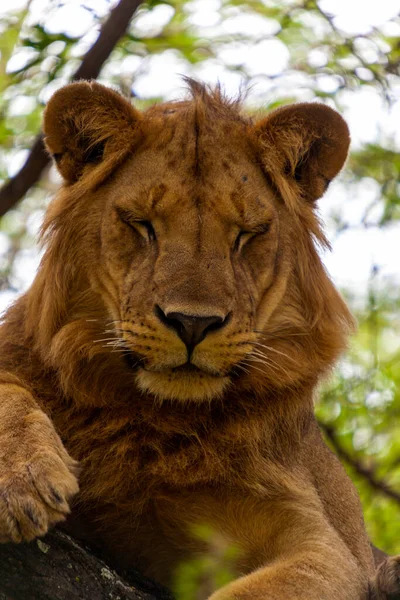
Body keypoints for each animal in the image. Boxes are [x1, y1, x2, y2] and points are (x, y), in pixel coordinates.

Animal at [0, 81, 396, 600]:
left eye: (247, 235)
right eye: (142, 224)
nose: (191, 323)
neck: (152, 421)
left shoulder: (329, 548)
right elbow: (8, 389)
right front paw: (24, 478)